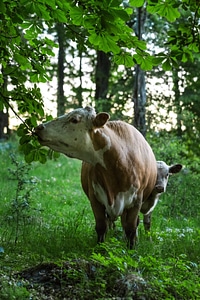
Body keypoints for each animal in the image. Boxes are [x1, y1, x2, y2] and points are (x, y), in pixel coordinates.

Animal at [34, 106, 159, 247]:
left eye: (74, 119)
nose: (39, 127)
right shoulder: (95, 198)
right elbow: (101, 226)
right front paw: (100, 247)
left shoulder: (136, 201)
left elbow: (131, 228)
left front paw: (131, 248)